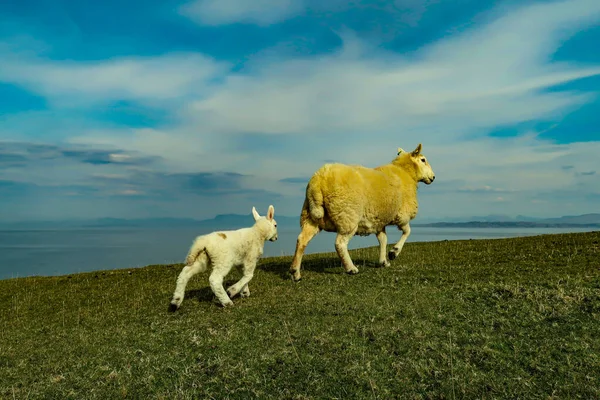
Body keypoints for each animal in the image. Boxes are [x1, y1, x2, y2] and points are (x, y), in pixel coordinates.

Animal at [288, 144, 434, 282]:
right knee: (340, 243)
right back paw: (351, 268)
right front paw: (394, 252)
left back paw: (295, 273)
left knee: (302, 240)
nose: (433, 177)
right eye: (423, 160)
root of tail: (319, 180)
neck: (406, 173)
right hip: (348, 215)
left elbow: (383, 240)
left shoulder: (379, 220)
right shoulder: (402, 215)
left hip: (310, 216)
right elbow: (407, 231)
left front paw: (383, 261)